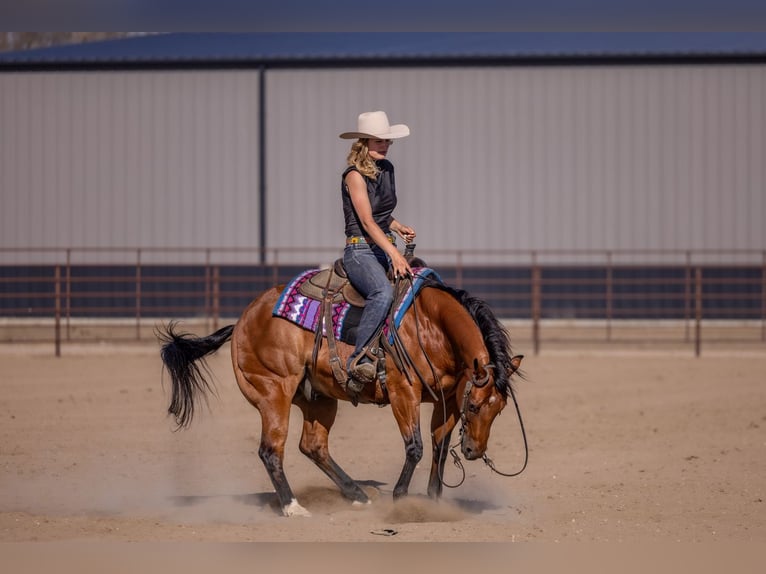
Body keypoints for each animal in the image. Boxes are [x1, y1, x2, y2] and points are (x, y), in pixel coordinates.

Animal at [158, 272, 524, 517]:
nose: (475, 451)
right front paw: (401, 497)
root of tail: (244, 319)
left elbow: (440, 448)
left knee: (313, 446)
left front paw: (433, 500)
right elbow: (416, 447)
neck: (431, 325)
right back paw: (293, 507)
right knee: (270, 450)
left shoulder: (445, 399)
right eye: (474, 406)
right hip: (273, 393)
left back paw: (357, 494)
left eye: (499, 409)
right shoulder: (403, 392)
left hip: (318, 399)